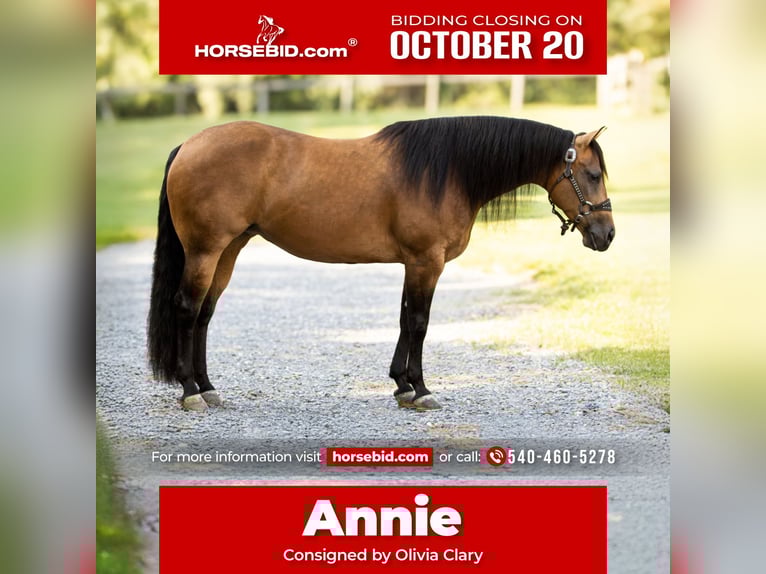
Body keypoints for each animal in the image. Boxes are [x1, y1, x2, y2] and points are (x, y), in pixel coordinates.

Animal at [147, 116, 614, 412]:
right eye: (592, 175)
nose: (607, 234)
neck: (446, 171)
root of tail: (188, 145)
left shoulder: (414, 263)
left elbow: (405, 318)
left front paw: (401, 385)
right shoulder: (427, 261)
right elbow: (420, 322)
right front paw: (421, 389)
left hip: (228, 249)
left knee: (205, 314)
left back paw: (208, 387)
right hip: (205, 250)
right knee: (187, 309)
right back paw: (190, 391)